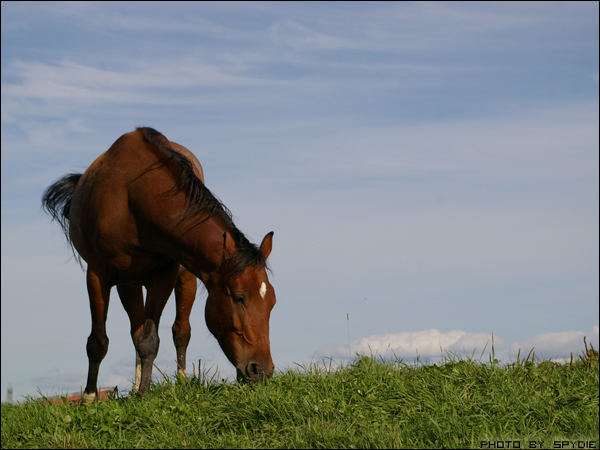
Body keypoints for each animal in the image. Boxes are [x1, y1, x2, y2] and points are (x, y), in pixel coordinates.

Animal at [42, 128, 276, 400]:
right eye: (239, 297)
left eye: (272, 302)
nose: (262, 370)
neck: (131, 197)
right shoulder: (98, 274)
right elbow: (98, 341)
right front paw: (90, 397)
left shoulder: (165, 274)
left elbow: (150, 338)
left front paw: (144, 394)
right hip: (128, 283)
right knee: (134, 329)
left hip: (182, 279)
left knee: (179, 330)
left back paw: (180, 380)